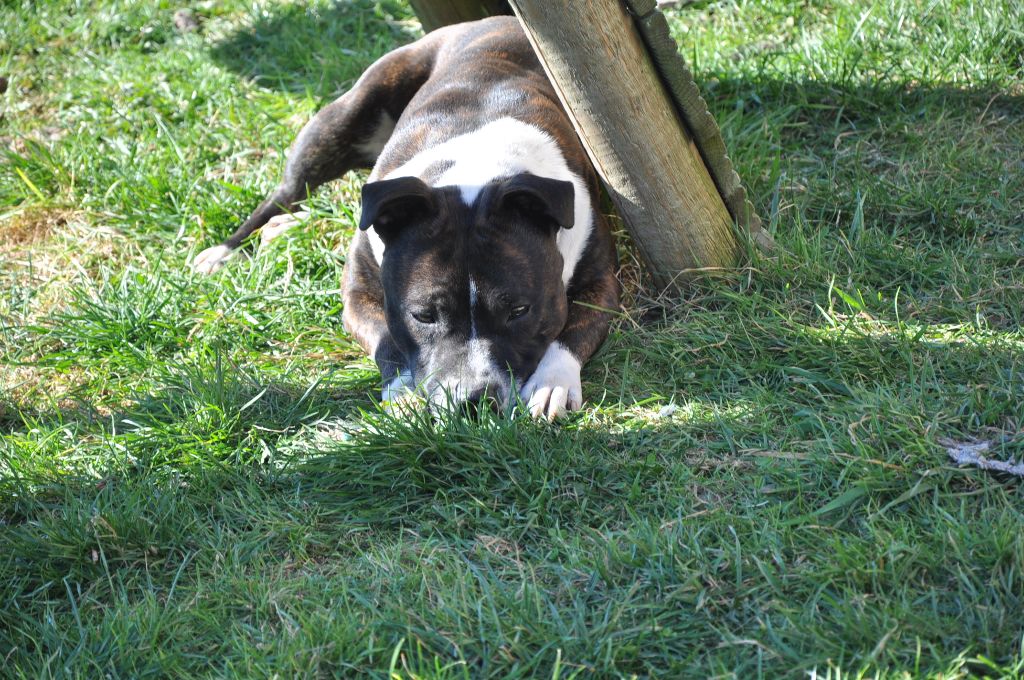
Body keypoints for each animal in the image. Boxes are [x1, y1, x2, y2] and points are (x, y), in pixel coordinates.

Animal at [193, 16, 619, 419]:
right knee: (285, 193)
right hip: (345, 118)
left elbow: (573, 331)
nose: (473, 400)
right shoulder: (359, 293)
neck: (476, 173)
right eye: (423, 316)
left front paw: (552, 384)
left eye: (519, 311)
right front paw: (404, 395)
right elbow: (389, 345)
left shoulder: (601, 280)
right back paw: (227, 250)